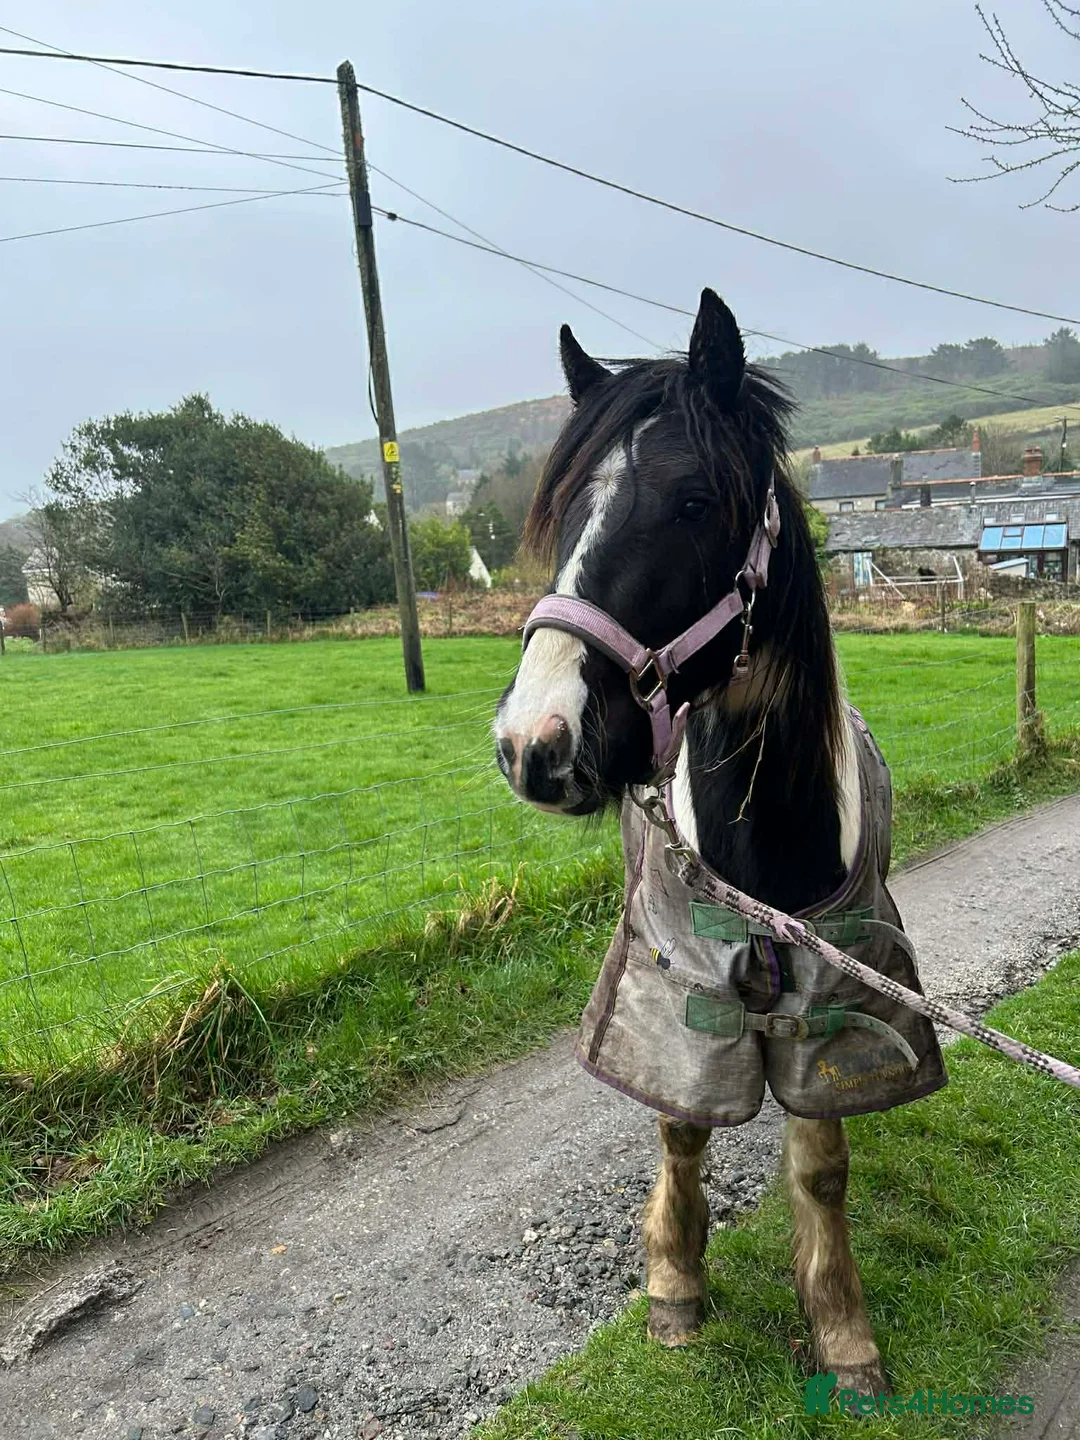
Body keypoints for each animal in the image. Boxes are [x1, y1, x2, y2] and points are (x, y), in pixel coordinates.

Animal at [493, 289, 947, 1400]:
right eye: (565, 512)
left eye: (695, 503)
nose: (534, 742)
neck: (762, 850)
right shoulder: (677, 978)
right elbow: (681, 1122)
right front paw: (674, 1280)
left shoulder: (836, 987)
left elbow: (820, 1164)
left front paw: (841, 1328)